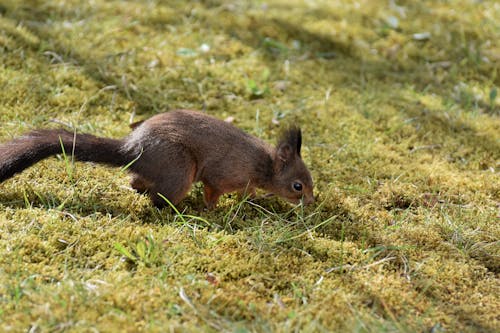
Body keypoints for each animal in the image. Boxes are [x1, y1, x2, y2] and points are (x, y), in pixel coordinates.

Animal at [0, 109, 312, 208]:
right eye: (298, 186)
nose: (310, 202)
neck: (265, 164)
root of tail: (132, 148)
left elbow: (247, 193)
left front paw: (251, 201)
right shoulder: (222, 173)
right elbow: (213, 191)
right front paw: (212, 209)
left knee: (137, 182)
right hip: (180, 169)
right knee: (158, 198)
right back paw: (179, 209)